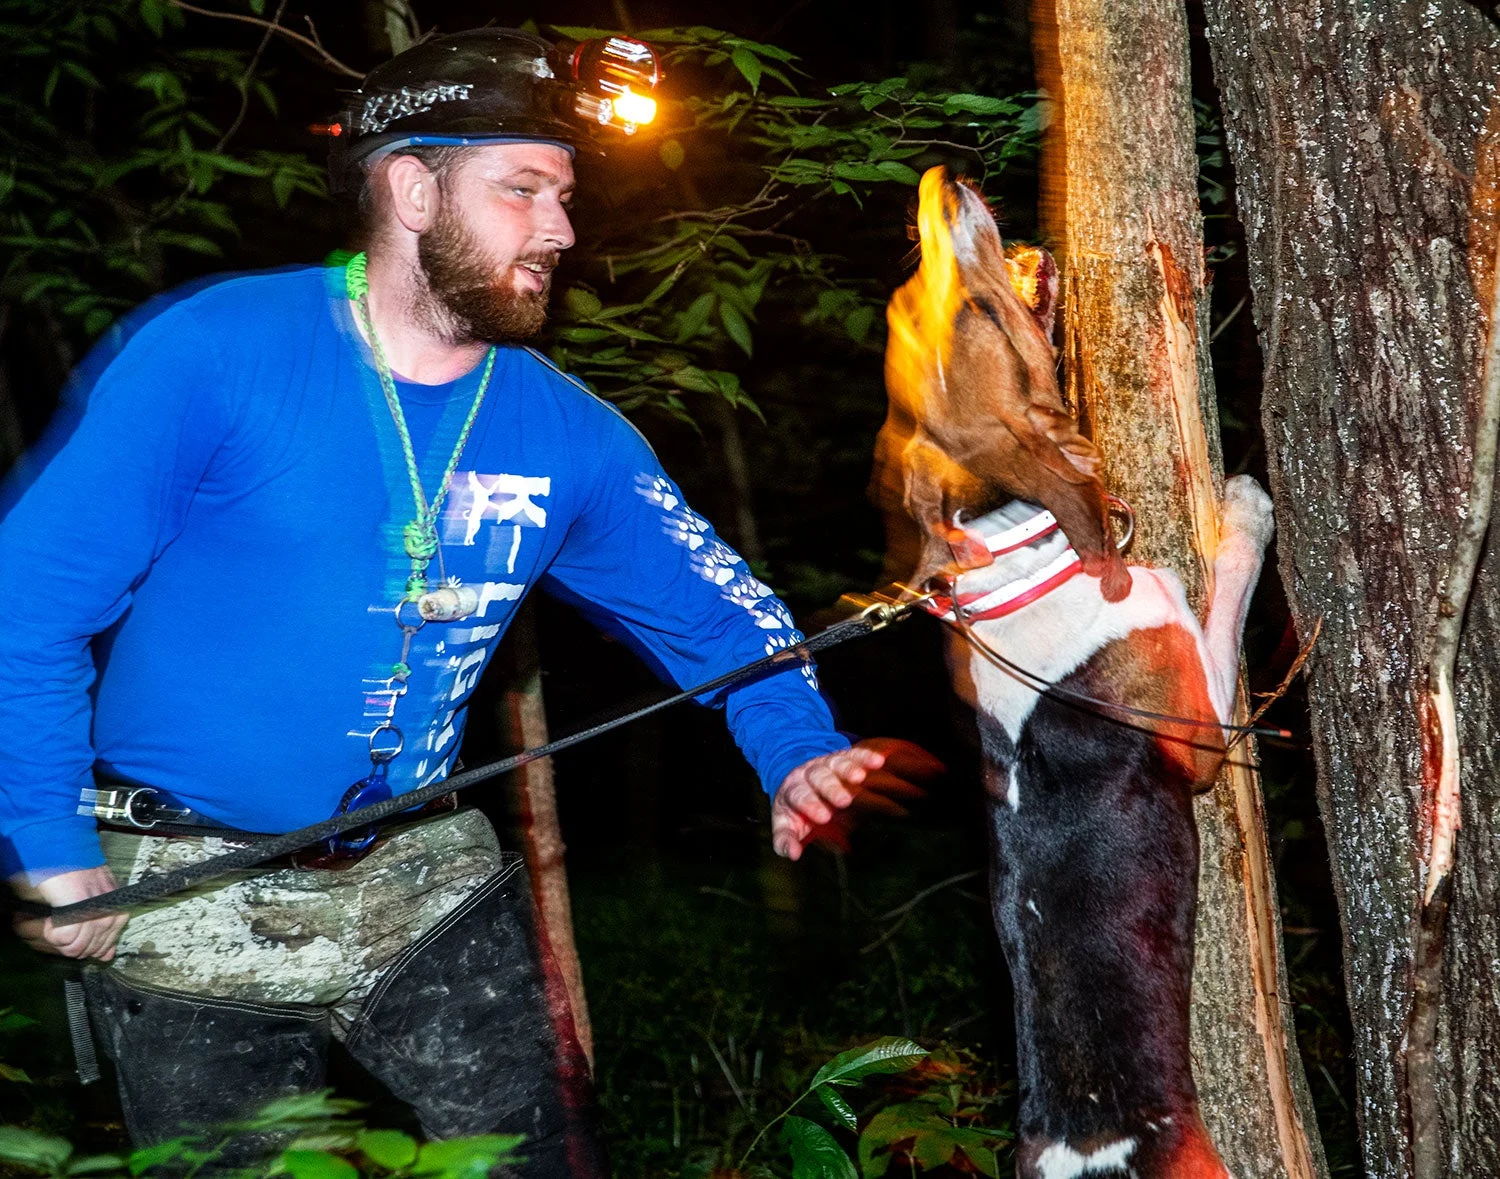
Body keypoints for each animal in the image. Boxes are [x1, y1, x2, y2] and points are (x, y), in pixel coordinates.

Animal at [876, 168, 1278, 1176]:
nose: (941, 182)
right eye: (978, 311)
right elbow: (1219, 598)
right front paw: (1244, 511)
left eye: (913, 309)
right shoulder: (1200, 723)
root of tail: (1074, 1145)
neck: (1024, 560)